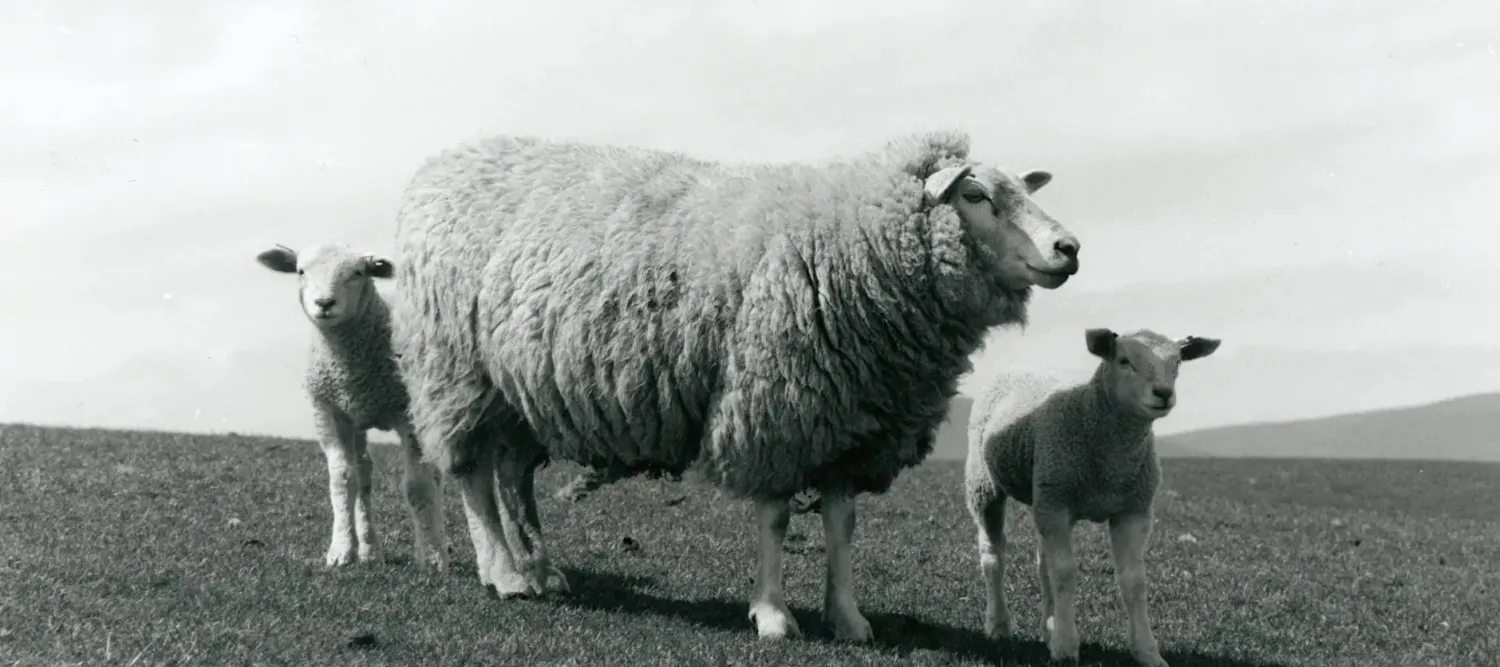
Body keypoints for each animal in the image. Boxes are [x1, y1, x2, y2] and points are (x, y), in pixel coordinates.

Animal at [256, 242, 448, 571]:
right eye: (300, 271)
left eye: (358, 273)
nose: (324, 303)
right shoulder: (329, 412)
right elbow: (343, 480)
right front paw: (341, 550)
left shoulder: (407, 414)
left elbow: (417, 485)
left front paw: (432, 558)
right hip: (355, 420)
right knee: (364, 473)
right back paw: (370, 550)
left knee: (433, 473)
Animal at [389, 130, 1083, 642]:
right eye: (975, 194)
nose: (1070, 247)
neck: (851, 242)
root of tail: (438, 167)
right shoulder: (775, 406)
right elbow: (775, 519)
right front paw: (773, 615)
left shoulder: (849, 420)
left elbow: (841, 525)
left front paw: (848, 618)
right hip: (459, 373)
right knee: (475, 478)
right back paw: (503, 573)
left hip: (522, 395)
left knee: (512, 475)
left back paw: (541, 569)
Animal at [964, 327, 1222, 666]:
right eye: (1124, 360)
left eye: (1177, 362)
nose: (1164, 393)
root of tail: (1018, 366)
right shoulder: (1057, 506)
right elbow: (1065, 573)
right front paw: (1065, 647)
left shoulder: (1132, 511)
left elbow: (1133, 580)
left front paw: (1147, 651)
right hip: (986, 485)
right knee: (994, 555)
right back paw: (998, 625)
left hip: (1044, 496)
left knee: (1043, 562)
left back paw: (1048, 626)